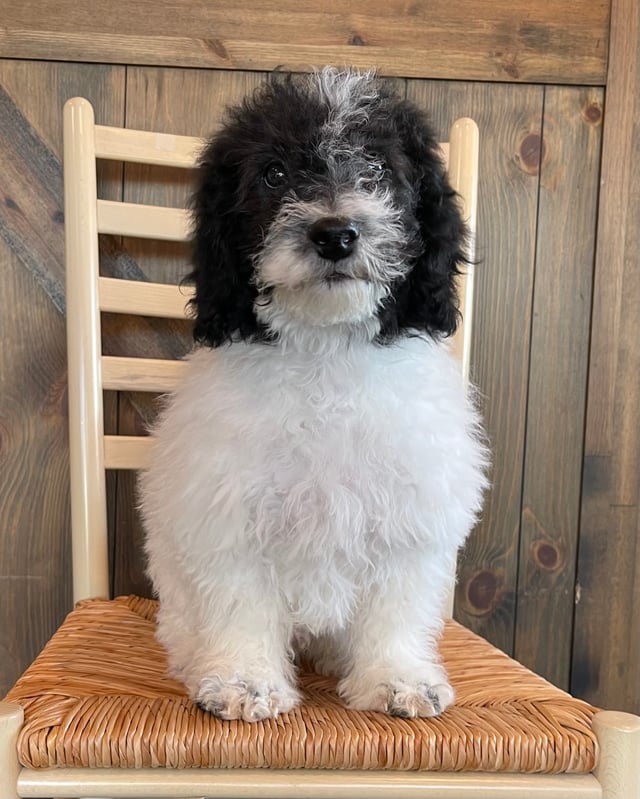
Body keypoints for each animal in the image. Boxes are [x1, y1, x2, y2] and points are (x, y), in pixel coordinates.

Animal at [139, 69, 484, 724]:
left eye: (377, 167)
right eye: (274, 175)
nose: (334, 234)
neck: (325, 351)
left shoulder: (408, 511)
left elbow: (396, 605)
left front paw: (396, 677)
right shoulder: (232, 511)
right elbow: (240, 602)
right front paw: (244, 682)